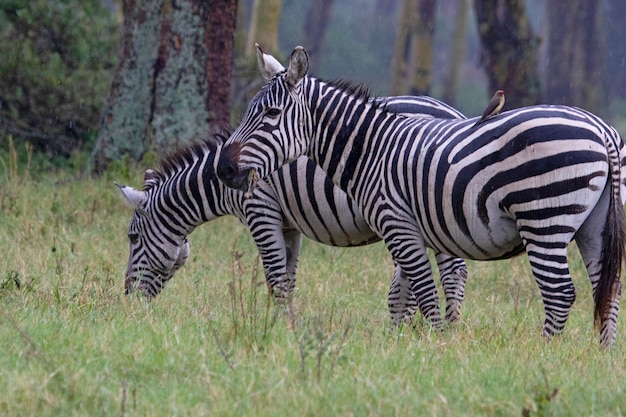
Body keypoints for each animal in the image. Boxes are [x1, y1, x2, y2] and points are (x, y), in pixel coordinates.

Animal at [117, 92, 468, 322]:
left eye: (132, 238)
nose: (128, 299)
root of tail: (455, 113)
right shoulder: (289, 224)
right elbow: (289, 278)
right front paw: (284, 324)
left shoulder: (259, 209)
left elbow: (276, 278)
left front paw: (277, 328)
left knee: (452, 273)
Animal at [217, 44, 624, 348]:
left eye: (271, 114)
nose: (223, 169)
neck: (371, 151)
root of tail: (602, 128)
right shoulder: (412, 232)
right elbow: (402, 294)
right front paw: (400, 345)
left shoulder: (397, 223)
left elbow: (424, 293)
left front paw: (437, 346)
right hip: (595, 226)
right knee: (607, 290)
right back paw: (602, 358)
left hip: (544, 220)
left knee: (560, 293)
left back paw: (543, 356)